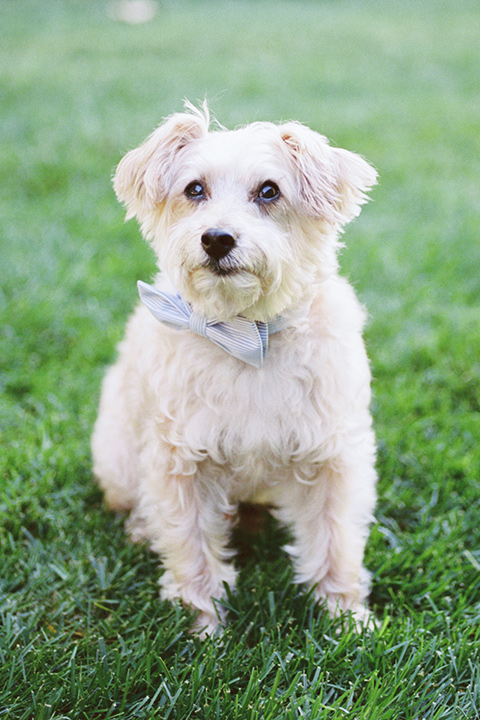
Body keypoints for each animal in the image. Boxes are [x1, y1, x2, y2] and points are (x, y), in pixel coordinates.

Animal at [91, 102, 378, 636]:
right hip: (118, 454)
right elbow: (191, 547)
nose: (216, 239)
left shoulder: (332, 456)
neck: (248, 335)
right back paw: (141, 526)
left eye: (269, 190)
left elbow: (335, 542)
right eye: (194, 189)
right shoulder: (181, 462)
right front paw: (202, 626)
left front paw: (346, 617)